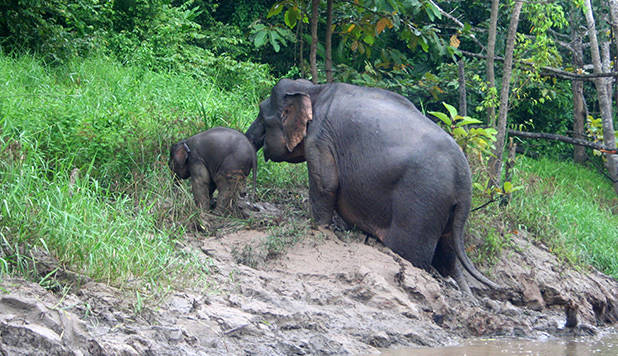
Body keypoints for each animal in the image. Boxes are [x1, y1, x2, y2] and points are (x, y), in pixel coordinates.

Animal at [244, 79, 496, 294]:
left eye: (261, 113)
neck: (316, 90)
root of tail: (464, 183)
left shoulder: (320, 139)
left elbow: (325, 183)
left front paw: (318, 227)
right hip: (446, 211)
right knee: (448, 254)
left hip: (422, 202)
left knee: (412, 254)